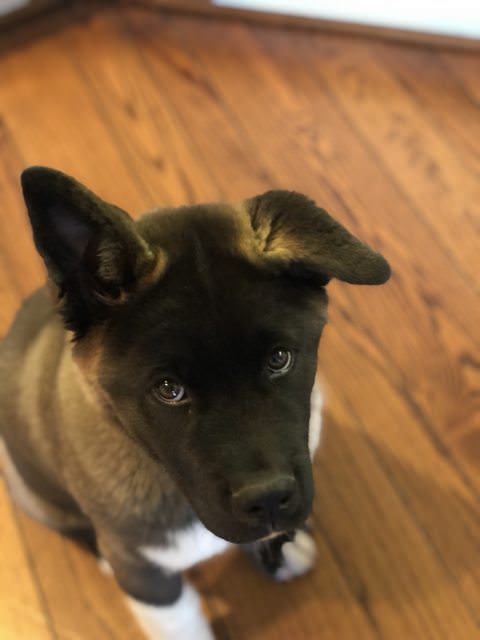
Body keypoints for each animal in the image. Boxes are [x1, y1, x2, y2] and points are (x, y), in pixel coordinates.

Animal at [0, 168, 390, 636]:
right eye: (169, 389)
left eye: (280, 358)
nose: (269, 500)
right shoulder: (150, 580)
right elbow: (180, 622)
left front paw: (281, 548)